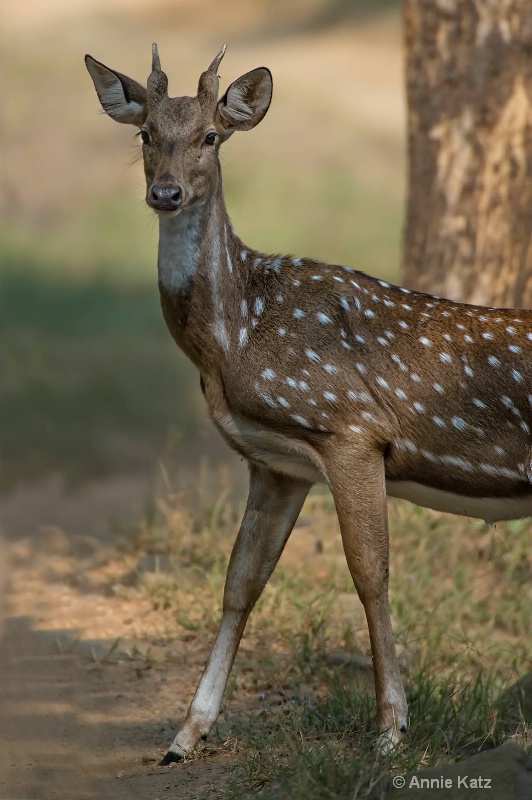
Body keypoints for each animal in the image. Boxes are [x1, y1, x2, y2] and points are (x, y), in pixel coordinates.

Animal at [85, 47, 528, 764]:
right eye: (146, 133)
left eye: (212, 135)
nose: (166, 194)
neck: (235, 338)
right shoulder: (277, 464)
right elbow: (241, 582)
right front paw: (186, 734)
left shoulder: (351, 427)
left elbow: (371, 575)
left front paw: (391, 731)